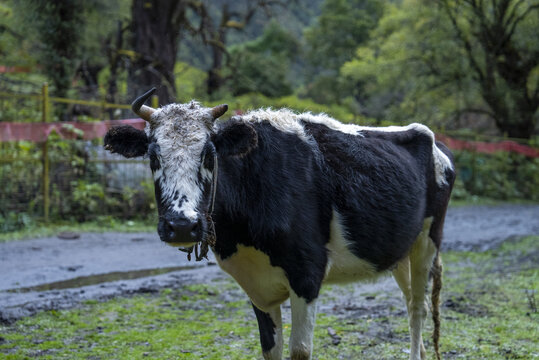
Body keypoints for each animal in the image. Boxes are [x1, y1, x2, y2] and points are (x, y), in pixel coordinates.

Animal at [104, 88, 456, 360]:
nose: (181, 225)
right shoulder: (257, 285)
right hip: (399, 251)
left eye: (209, 155)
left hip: (429, 240)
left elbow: (299, 351)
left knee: (418, 308)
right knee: (411, 300)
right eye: (153, 157)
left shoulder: (307, 273)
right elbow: (270, 349)